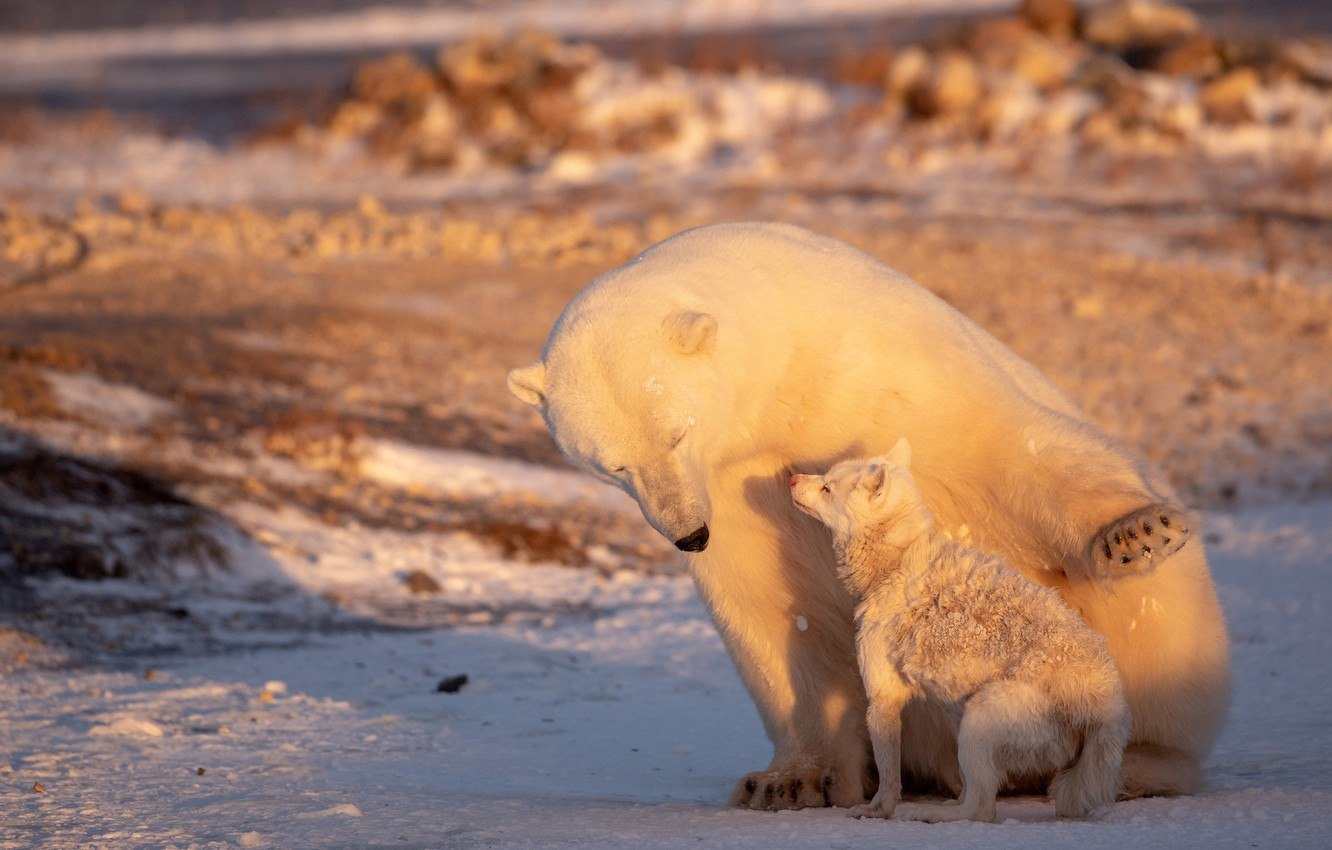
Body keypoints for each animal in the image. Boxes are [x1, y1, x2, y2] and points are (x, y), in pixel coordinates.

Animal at [788, 436, 1134, 820]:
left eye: (827, 487)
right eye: (824, 477)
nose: (790, 478)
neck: (893, 560)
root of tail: (1106, 706)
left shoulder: (882, 698)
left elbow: (888, 777)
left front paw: (878, 812)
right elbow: (960, 782)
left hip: (979, 718)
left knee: (980, 809)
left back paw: (929, 815)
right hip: (969, 720)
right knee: (978, 798)